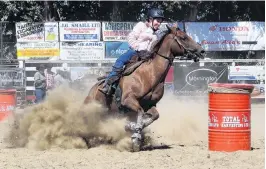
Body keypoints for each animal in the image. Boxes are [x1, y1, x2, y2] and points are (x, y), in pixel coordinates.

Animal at [83, 24, 206, 152]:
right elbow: (140, 113)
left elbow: (154, 116)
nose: (202, 51)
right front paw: (134, 133)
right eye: (183, 37)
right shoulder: (128, 100)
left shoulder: (150, 104)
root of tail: (92, 90)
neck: (149, 75)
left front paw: (133, 129)